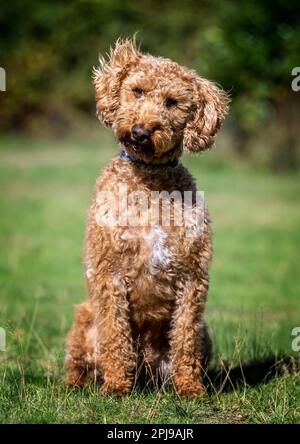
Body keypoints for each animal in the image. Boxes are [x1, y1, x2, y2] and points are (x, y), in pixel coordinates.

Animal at [65, 38, 230, 398]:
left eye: (172, 102)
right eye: (137, 91)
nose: (141, 132)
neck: (149, 181)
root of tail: (146, 372)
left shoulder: (191, 277)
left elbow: (184, 339)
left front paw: (190, 389)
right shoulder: (109, 273)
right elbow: (115, 336)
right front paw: (116, 387)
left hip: (204, 334)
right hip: (84, 318)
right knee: (79, 361)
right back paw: (80, 383)